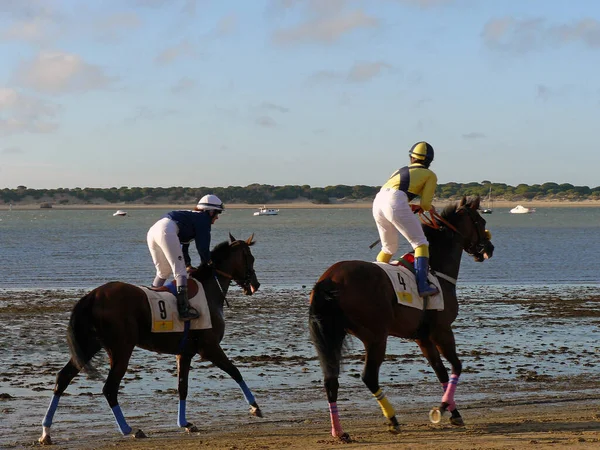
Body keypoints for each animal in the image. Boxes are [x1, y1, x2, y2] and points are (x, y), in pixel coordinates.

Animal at [38, 234, 260, 444]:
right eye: (251, 258)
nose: (255, 285)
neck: (208, 291)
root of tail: (93, 295)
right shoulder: (209, 347)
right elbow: (235, 371)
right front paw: (255, 407)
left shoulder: (185, 352)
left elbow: (182, 387)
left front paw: (185, 423)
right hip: (121, 349)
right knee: (109, 388)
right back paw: (129, 429)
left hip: (89, 345)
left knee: (63, 378)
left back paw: (46, 432)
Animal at [310, 196, 492, 440]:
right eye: (481, 221)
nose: (490, 248)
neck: (436, 268)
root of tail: (328, 278)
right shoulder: (442, 330)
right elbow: (456, 367)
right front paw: (442, 408)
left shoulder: (423, 337)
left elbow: (441, 371)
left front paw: (454, 413)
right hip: (376, 336)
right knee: (369, 376)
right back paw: (393, 419)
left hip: (333, 334)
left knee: (331, 380)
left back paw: (339, 431)